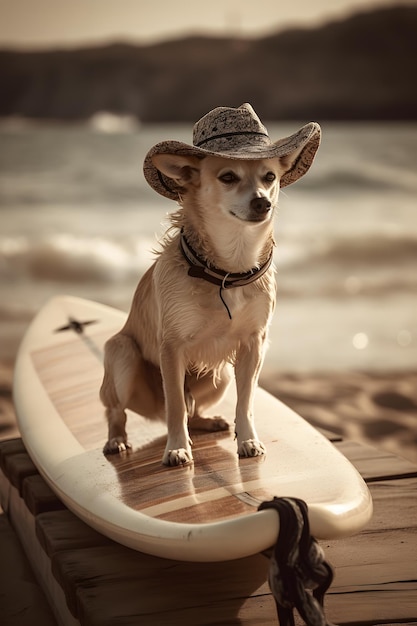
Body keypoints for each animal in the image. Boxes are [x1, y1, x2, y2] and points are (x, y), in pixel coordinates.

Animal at [99, 102, 320, 464]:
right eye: (228, 177)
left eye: (270, 177)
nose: (263, 202)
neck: (228, 270)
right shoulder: (171, 349)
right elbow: (175, 406)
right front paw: (177, 447)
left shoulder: (252, 345)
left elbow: (246, 402)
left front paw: (248, 439)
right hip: (122, 356)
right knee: (120, 411)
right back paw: (117, 440)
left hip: (221, 375)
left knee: (193, 410)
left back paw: (208, 422)